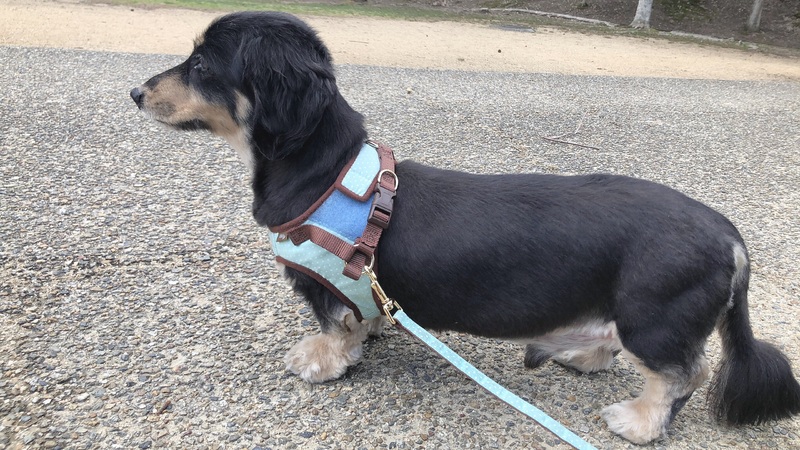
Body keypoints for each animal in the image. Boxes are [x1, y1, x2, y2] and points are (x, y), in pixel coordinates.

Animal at [130, 11, 800, 444]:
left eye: (201, 62)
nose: (135, 91)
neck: (327, 171)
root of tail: (729, 234)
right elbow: (362, 317)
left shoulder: (323, 289)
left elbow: (331, 329)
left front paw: (317, 361)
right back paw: (584, 355)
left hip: (652, 316)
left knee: (683, 374)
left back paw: (638, 421)